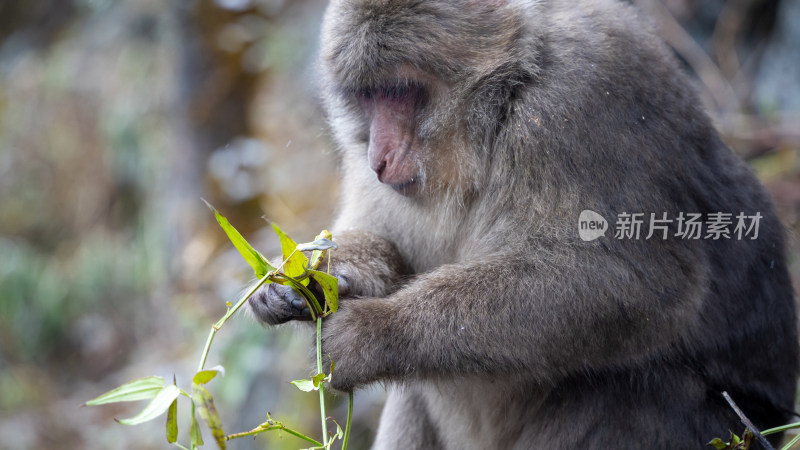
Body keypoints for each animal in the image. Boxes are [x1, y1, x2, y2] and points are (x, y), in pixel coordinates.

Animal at [247, 0, 796, 446]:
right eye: (367, 96)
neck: (504, 102)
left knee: (638, 391)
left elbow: (639, 283)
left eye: (398, 91)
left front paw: (374, 333)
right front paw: (304, 275)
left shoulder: (578, 102)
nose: (377, 158)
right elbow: (388, 251)